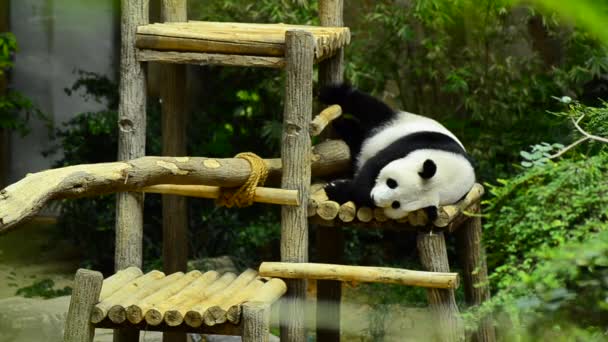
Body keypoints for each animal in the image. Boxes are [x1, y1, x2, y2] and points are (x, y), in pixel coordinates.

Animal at [318, 84, 476, 220]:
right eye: (392, 183)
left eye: (396, 204)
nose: (374, 197)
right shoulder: (420, 144)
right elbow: (374, 166)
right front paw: (336, 189)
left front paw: (338, 189)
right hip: (394, 121)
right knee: (366, 106)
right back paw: (330, 95)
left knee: (355, 135)